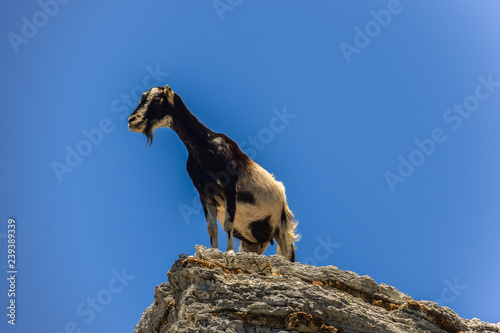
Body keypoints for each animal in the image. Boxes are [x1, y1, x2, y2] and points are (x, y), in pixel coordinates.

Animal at [129, 85, 298, 260]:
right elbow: (212, 227)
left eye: (157, 98)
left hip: (284, 228)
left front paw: (229, 251)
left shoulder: (229, 187)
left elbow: (228, 222)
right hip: (253, 242)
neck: (206, 148)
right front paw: (214, 251)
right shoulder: (204, 194)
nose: (132, 120)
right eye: (142, 97)